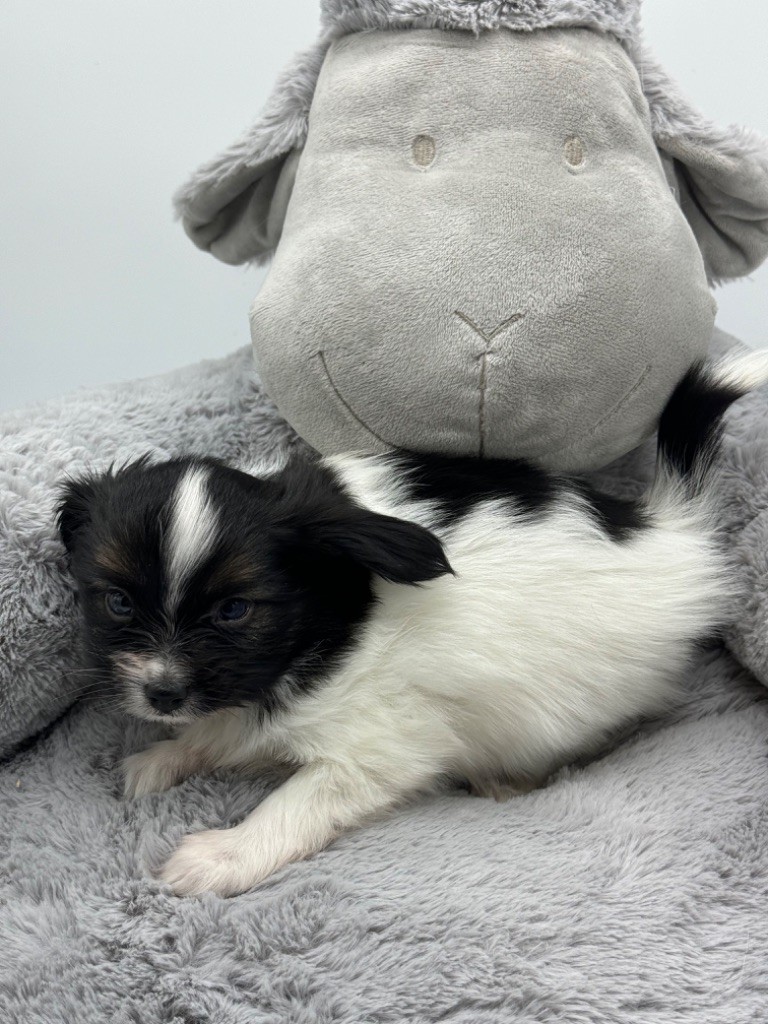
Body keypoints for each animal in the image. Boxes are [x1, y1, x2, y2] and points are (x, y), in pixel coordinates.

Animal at [58, 352, 768, 897]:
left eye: (234, 611)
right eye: (117, 602)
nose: (161, 694)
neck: (328, 624)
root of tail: (671, 535)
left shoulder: (384, 744)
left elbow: (297, 800)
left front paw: (219, 857)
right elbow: (216, 729)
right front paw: (166, 756)